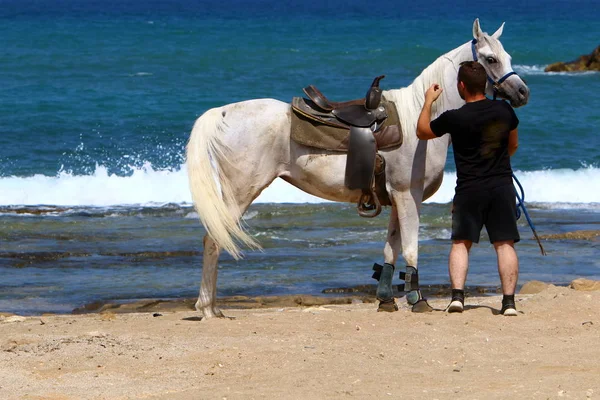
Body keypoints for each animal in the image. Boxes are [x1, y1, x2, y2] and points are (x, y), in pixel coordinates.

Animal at [188, 19, 528, 318]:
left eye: (509, 57)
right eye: (490, 58)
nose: (522, 92)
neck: (419, 117)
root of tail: (222, 113)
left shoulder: (396, 199)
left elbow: (391, 249)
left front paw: (386, 300)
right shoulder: (408, 195)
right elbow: (411, 248)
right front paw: (417, 300)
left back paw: (212, 307)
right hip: (239, 194)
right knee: (214, 240)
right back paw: (208, 308)